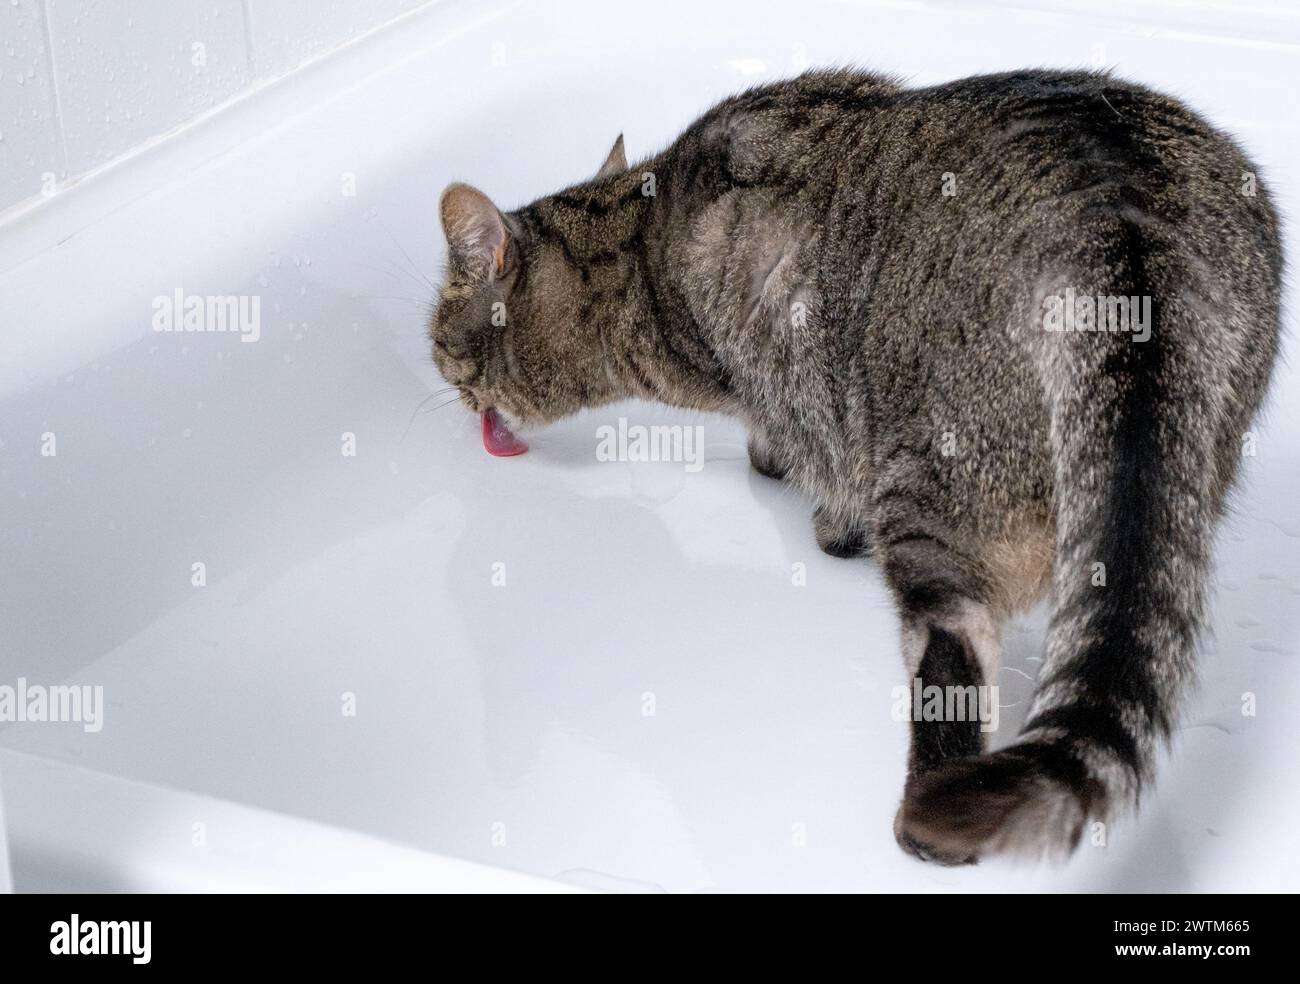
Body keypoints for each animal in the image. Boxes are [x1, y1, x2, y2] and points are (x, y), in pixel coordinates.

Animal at [428, 67, 1279, 857]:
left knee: (952, 649)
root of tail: (1118, 214)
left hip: (933, 487)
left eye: (438, 339)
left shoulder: (796, 395)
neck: (632, 242)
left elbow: (803, 455)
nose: (447, 385)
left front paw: (806, 500)